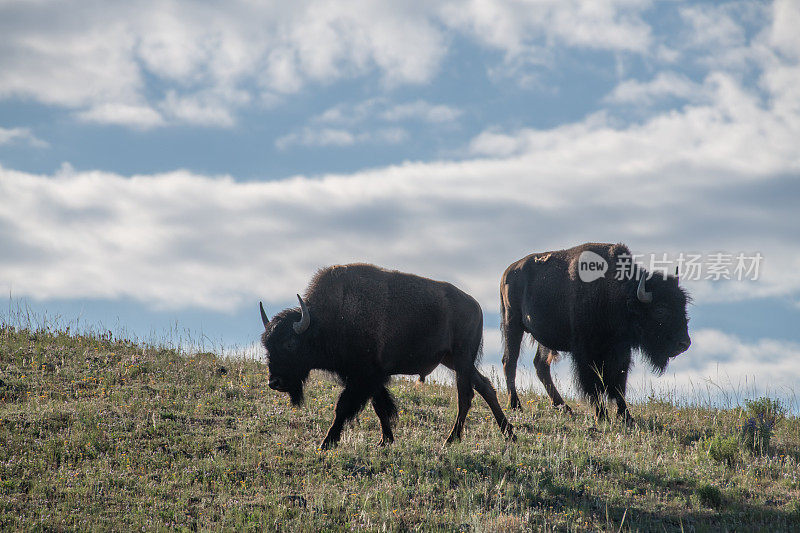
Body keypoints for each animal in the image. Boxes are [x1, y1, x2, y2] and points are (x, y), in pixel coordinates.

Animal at [260, 264, 516, 446]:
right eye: (266, 345)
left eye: (290, 344)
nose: (275, 382)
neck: (325, 321)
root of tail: (475, 305)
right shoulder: (372, 378)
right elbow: (380, 406)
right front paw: (386, 440)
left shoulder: (363, 377)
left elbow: (343, 407)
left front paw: (326, 442)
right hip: (453, 360)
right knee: (485, 387)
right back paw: (508, 433)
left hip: (462, 358)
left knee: (465, 395)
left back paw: (451, 439)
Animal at [500, 243, 692, 422]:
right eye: (660, 310)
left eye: (683, 306)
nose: (684, 343)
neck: (618, 294)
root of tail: (508, 272)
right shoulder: (586, 353)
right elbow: (594, 384)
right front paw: (602, 415)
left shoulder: (620, 351)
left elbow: (618, 384)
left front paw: (626, 417)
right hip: (513, 323)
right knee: (510, 361)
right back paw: (515, 404)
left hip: (544, 340)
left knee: (541, 365)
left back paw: (564, 407)